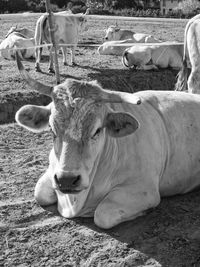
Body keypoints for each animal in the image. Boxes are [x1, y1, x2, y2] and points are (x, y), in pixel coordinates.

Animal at [15, 53, 200, 229]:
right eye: (52, 129)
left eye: (97, 130)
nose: (66, 179)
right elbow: (39, 193)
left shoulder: (144, 190)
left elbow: (103, 214)